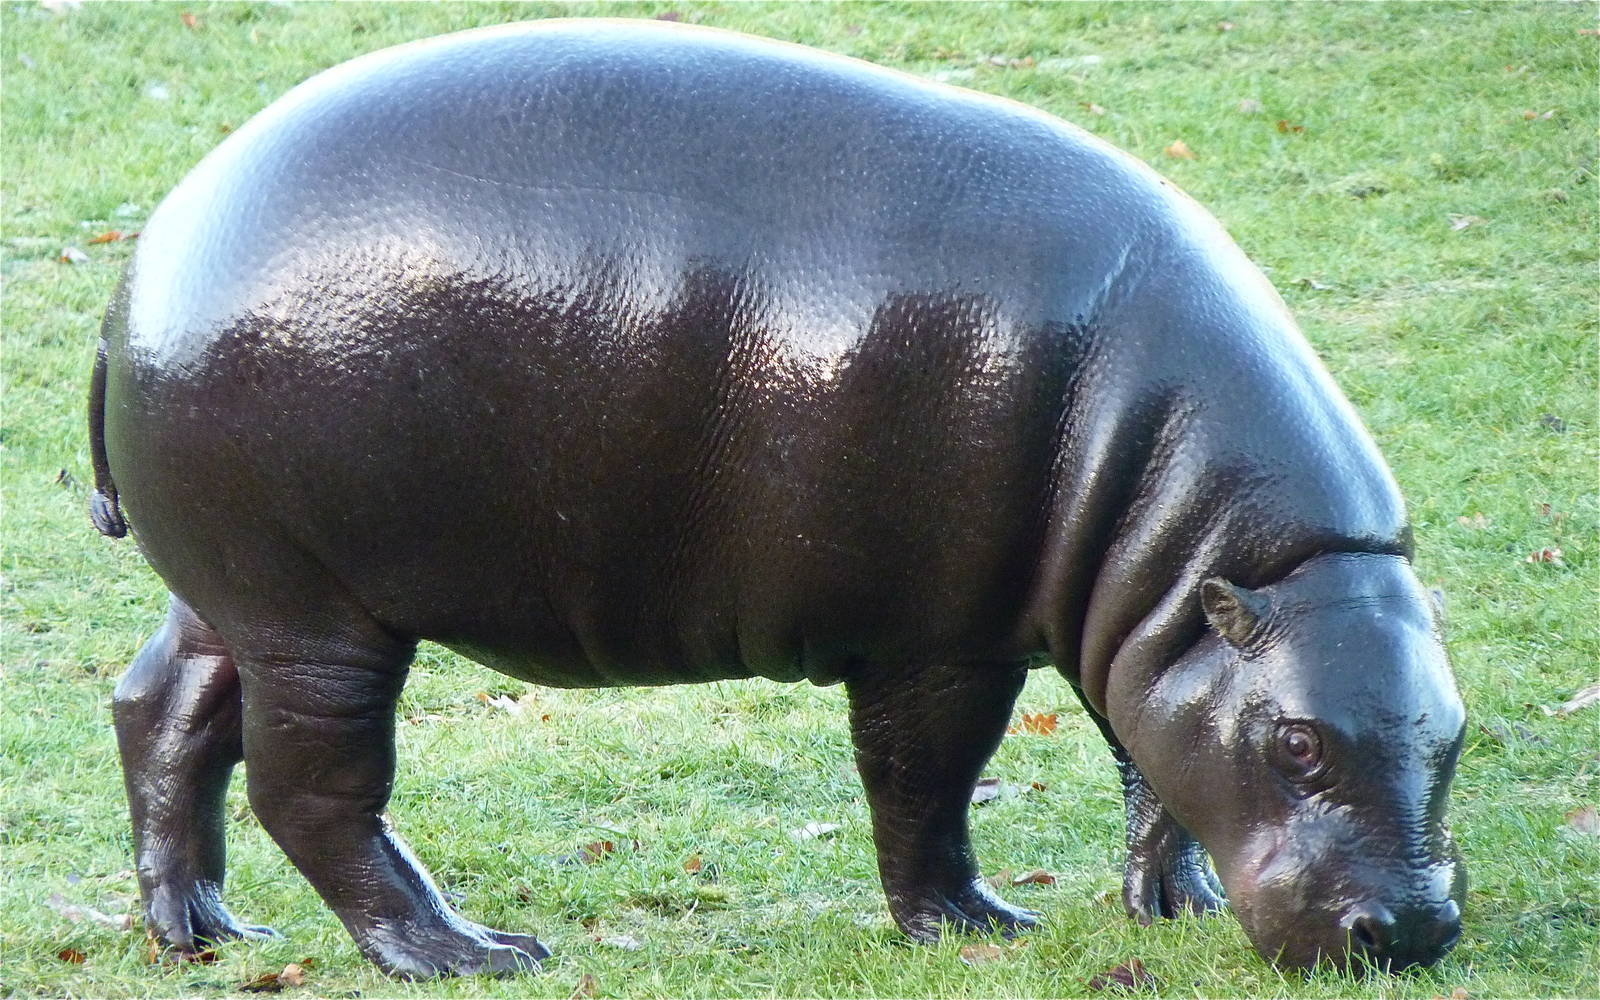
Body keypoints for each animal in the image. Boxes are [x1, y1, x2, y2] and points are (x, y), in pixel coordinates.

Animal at [88, 19, 1467, 978]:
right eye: (1297, 743)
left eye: (1458, 734)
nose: (1408, 928)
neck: (1260, 557)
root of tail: (142, 264)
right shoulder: (938, 640)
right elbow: (923, 783)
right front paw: (973, 926)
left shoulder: (1147, 618)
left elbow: (1147, 752)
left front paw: (1169, 905)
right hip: (318, 615)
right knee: (314, 790)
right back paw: (467, 953)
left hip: (234, 589)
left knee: (161, 706)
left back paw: (199, 928)